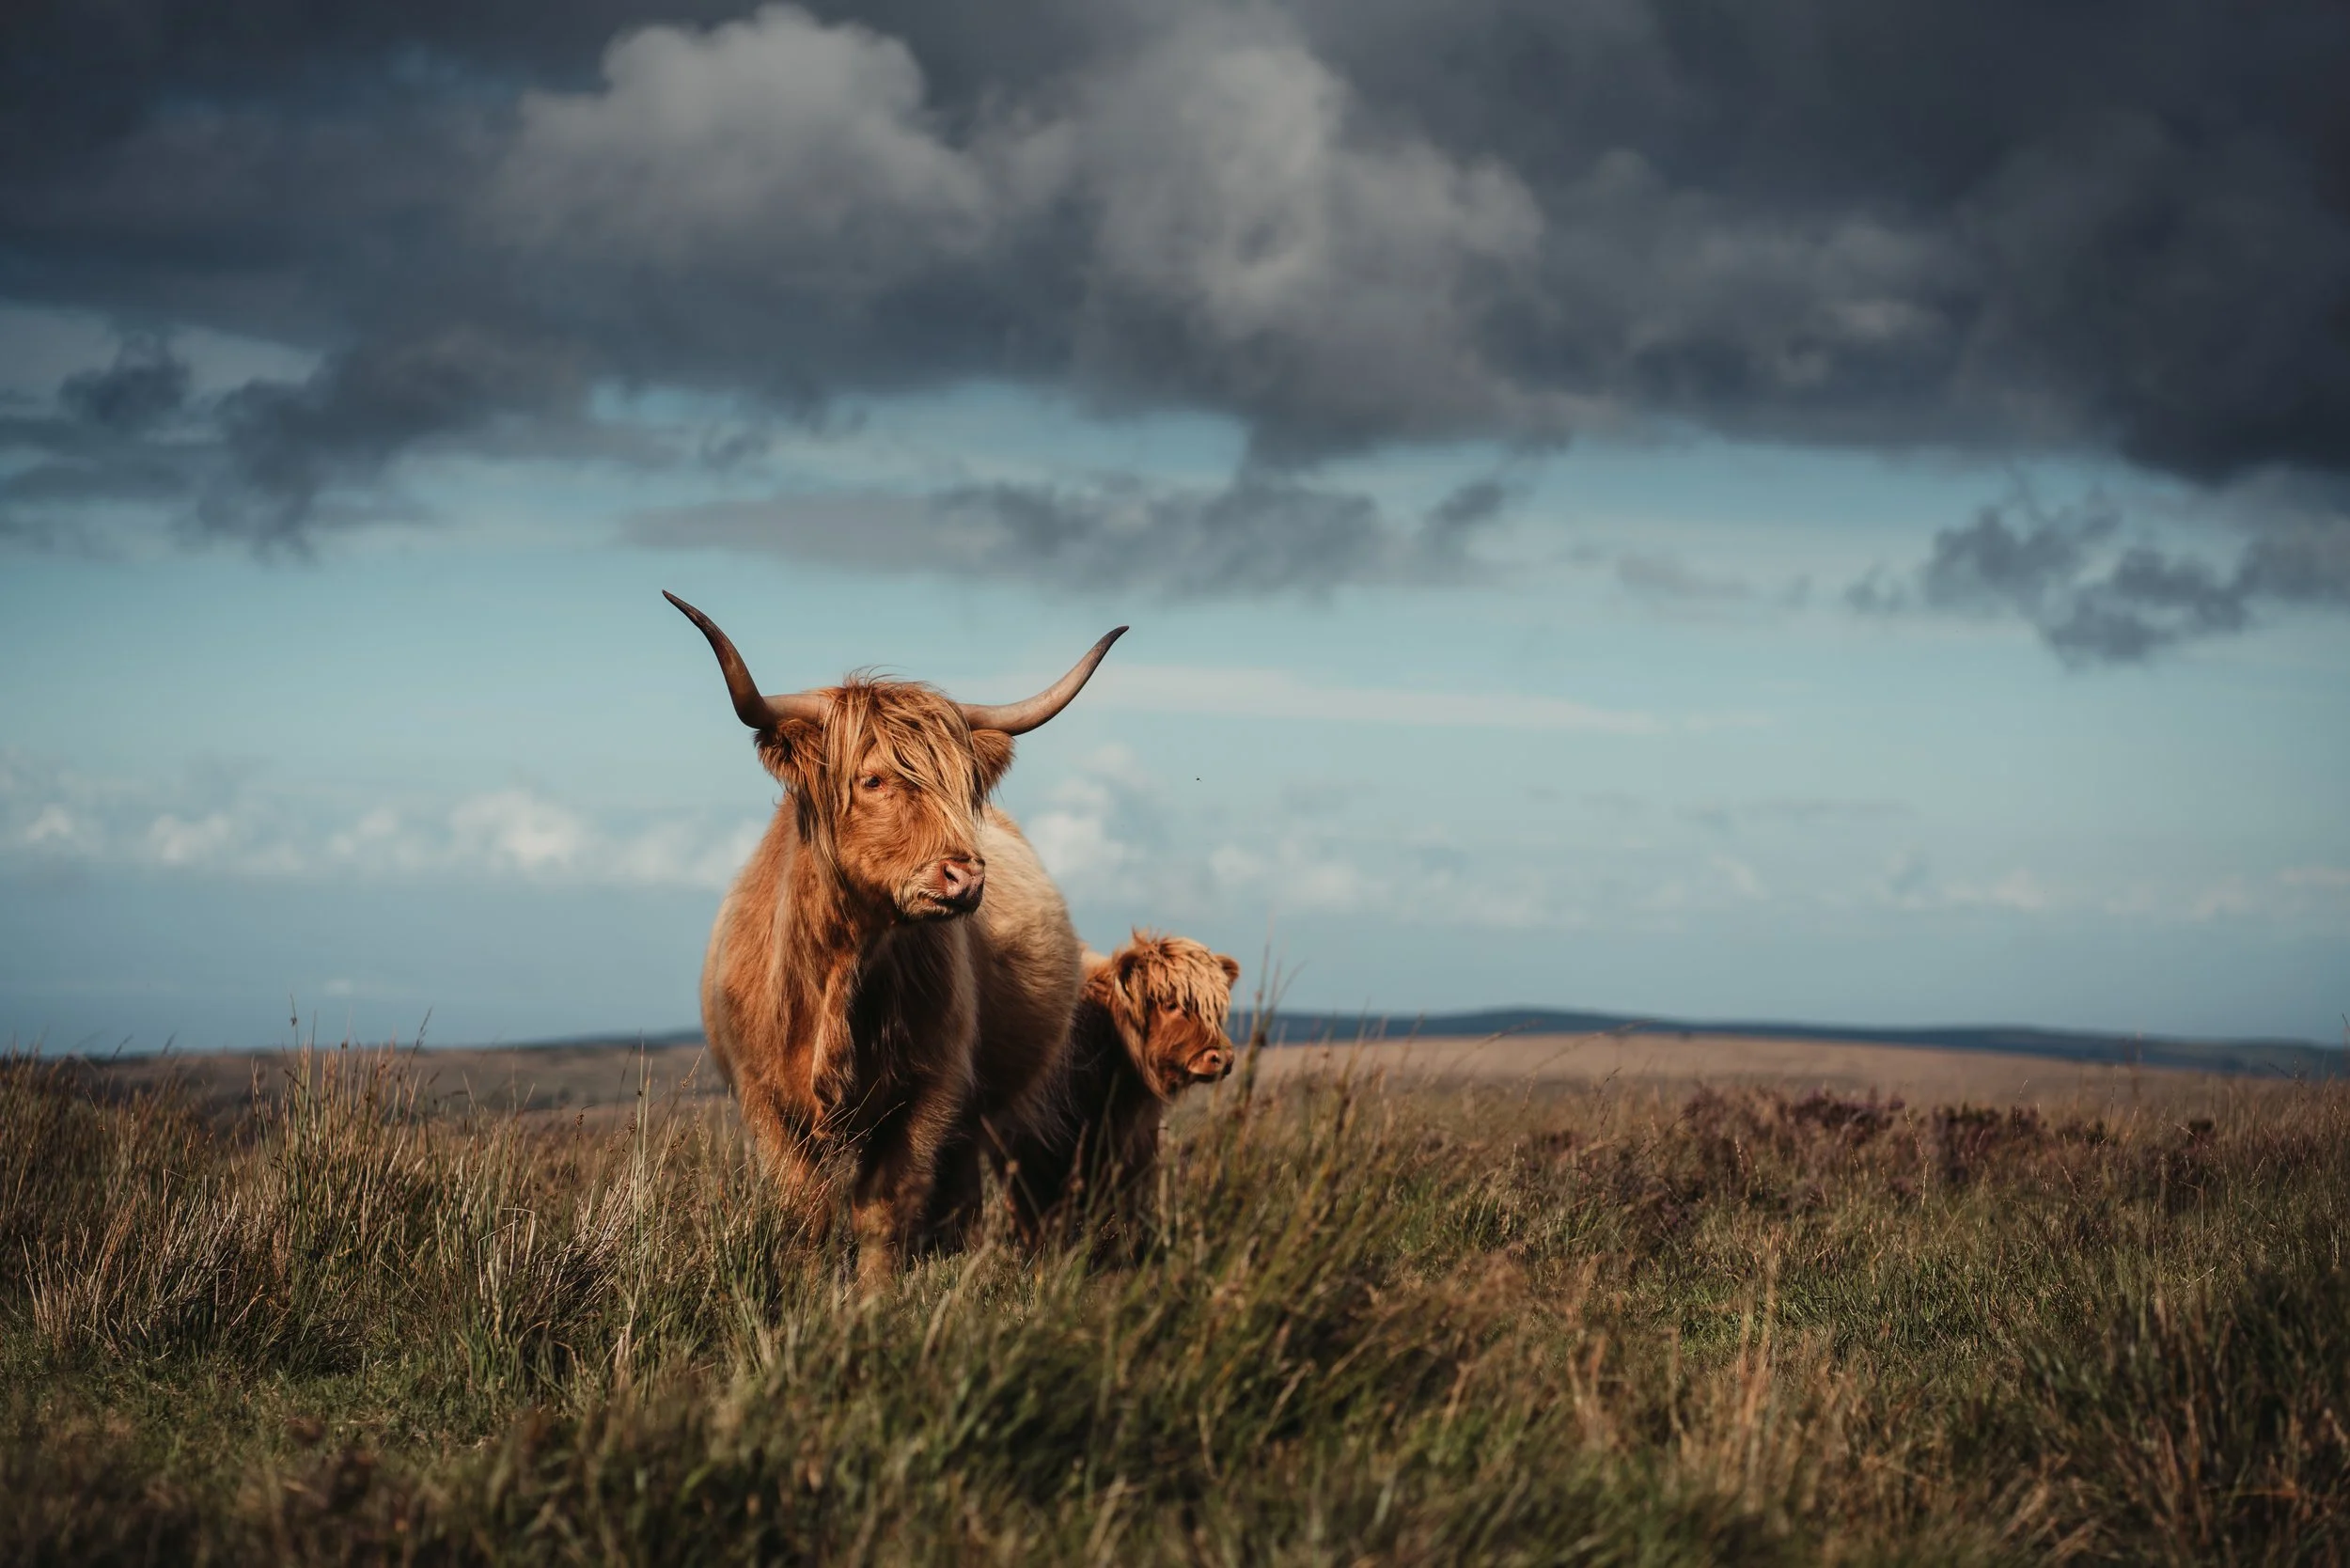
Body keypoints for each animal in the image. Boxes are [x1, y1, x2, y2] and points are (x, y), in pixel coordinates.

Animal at [664, 591, 1123, 1284]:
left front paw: (873, 1302)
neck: (840, 966)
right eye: (873, 780)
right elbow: (805, 1216)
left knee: (970, 1194)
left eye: (962, 787)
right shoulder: (763, 1098)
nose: (965, 874)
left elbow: (883, 1210)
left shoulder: (926, 1094)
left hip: (987, 1107)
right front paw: (807, 1298)